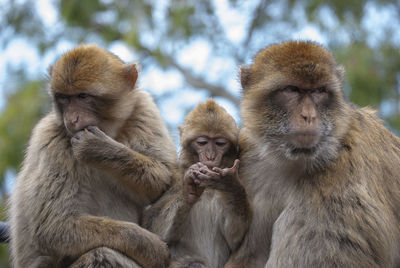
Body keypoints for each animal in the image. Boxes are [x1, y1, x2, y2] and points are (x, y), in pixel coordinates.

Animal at [8, 44, 178, 268]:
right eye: (64, 98)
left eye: (83, 96)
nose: (71, 119)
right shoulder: (53, 140)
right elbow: (54, 227)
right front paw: (150, 247)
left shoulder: (143, 109)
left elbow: (164, 177)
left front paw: (100, 149)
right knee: (101, 254)